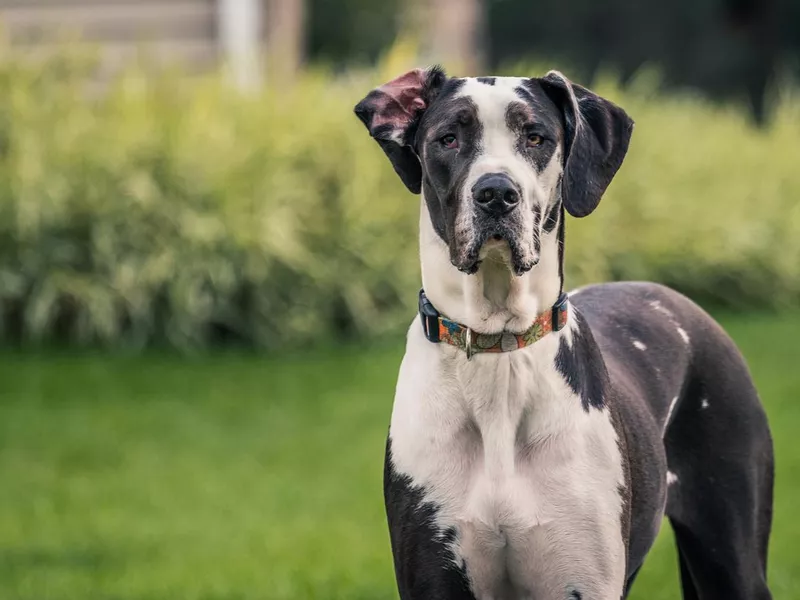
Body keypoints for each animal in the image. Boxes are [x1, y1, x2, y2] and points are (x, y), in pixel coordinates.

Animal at [354, 68, 772, 596]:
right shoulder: (433, 577)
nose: (496, 193)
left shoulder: (585, 578)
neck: (499, 351)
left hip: (732, 556)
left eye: (536, 137)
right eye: (448, 138)